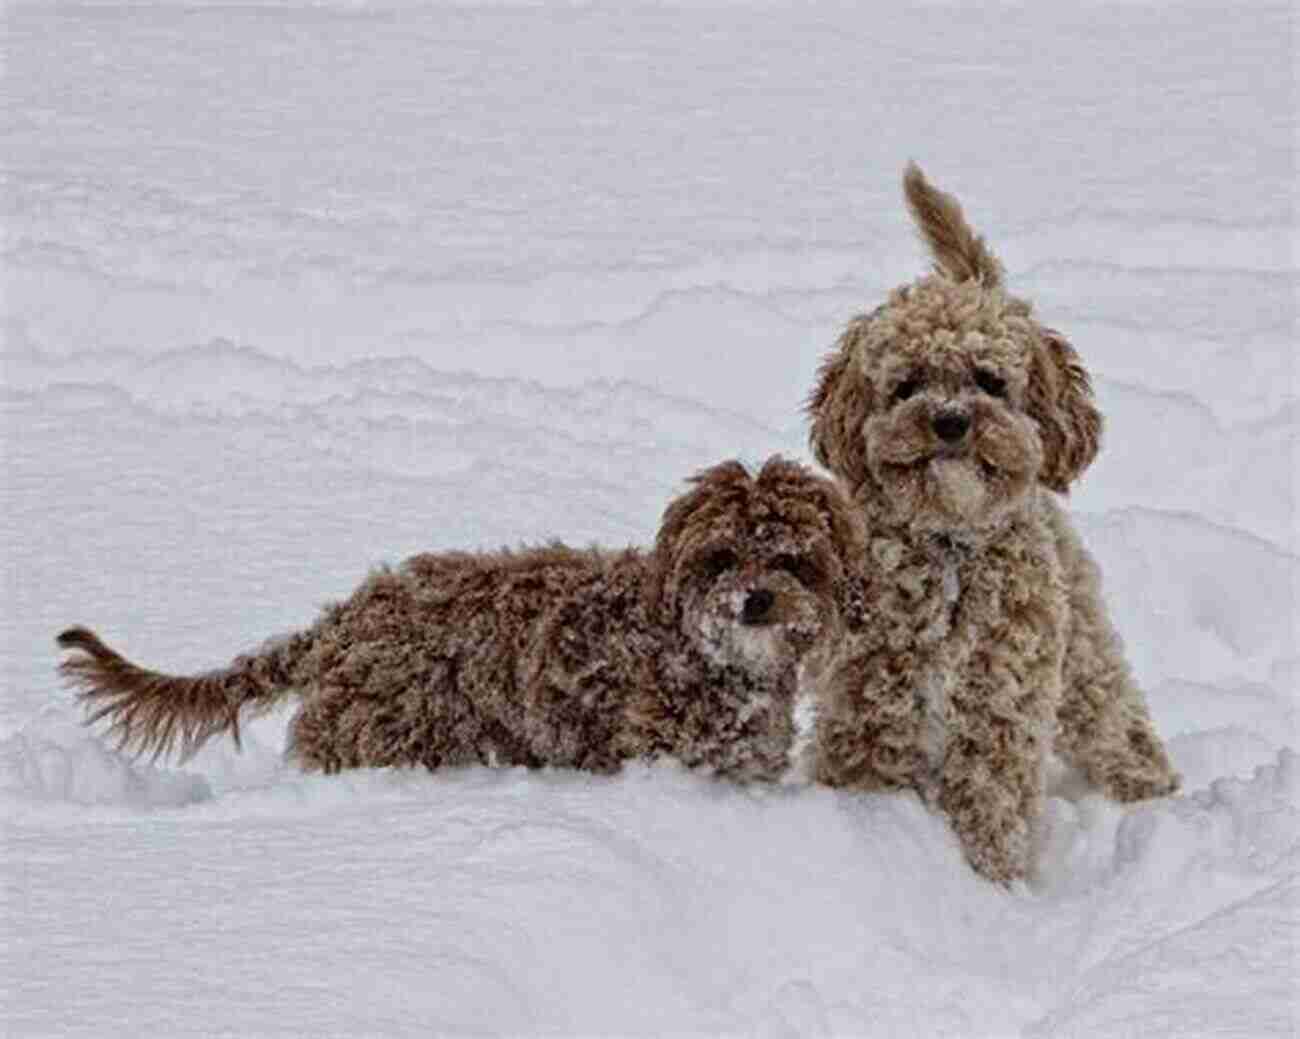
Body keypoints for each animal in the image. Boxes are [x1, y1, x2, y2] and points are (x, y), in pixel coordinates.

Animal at [806, 164, 1185, 884]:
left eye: (989, 380)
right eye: (906, 384)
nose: (951, 420)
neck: (952, 543)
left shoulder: (999, 699)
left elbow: (988, 799)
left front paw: (991, 881)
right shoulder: (871, 696)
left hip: (1080, 645)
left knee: (1114, 717)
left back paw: (1152, 790)